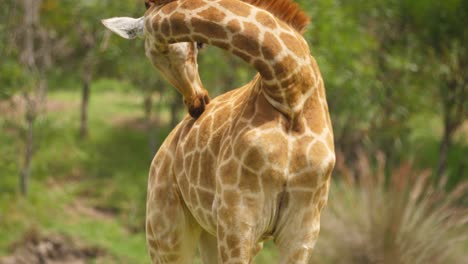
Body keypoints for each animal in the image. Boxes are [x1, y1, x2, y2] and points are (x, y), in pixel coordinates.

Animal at [103, 0, 334, 262]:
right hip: (165, 231)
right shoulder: (237, 216)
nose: (198, 102)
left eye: (199, 44)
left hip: (210, 234)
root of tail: (160, 154)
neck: (291, 92)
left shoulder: (302, 227)